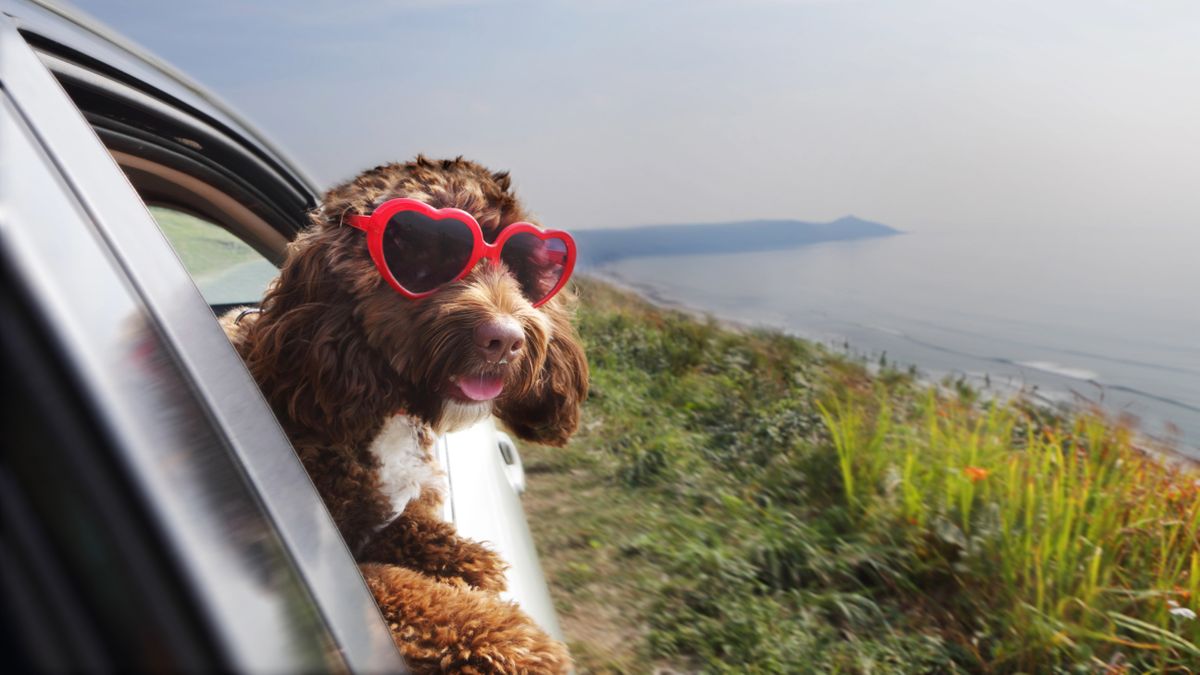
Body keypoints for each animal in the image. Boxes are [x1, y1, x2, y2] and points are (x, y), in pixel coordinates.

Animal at [224, 156, 585, 667]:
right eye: (422, 258)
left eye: (524, 266)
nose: (506, 340)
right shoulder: (340, 560)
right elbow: (406, 591)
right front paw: (512, 641)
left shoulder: (386, 513)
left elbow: (416, 527)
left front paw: (466, 560)